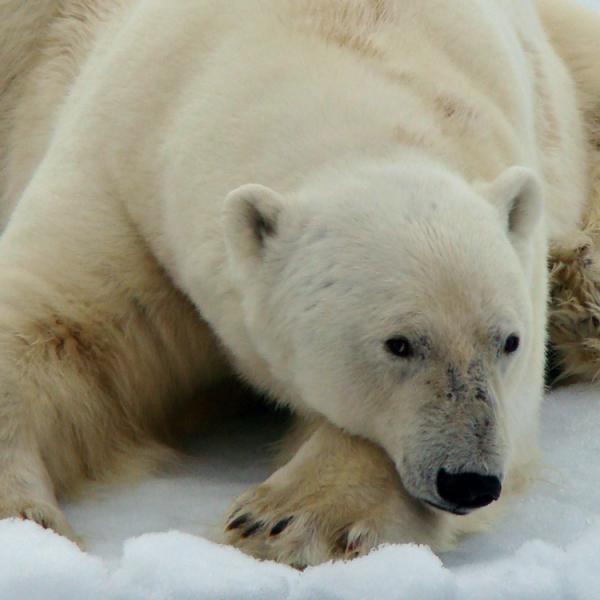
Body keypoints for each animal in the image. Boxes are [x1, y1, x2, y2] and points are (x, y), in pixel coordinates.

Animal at [0, 0, 592, 568]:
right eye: (398, 343)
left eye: (508, 342)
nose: (469, 480)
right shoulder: (122, 178)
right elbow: (54, 326)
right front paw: (26, 516)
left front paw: (287, 519)